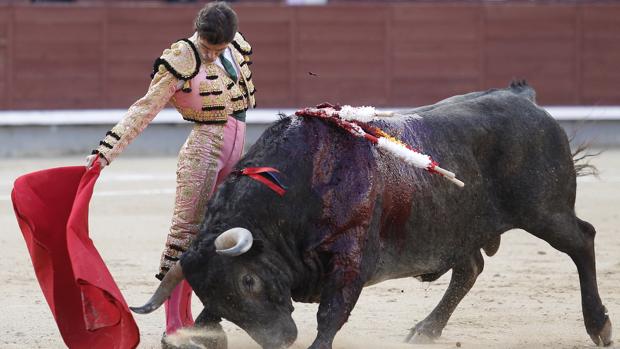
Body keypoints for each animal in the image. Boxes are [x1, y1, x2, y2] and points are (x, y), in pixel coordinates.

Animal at [133, 81, 612, 348]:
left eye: (249, 281)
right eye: (216, 296)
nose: (282, 340)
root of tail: (523, 99)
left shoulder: (350, 257)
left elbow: (331, 315)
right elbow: (206, 319)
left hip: (545, 211)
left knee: (583, 239)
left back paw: (600, 327)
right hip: (458, 226)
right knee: (470, 267)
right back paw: (426, 330)